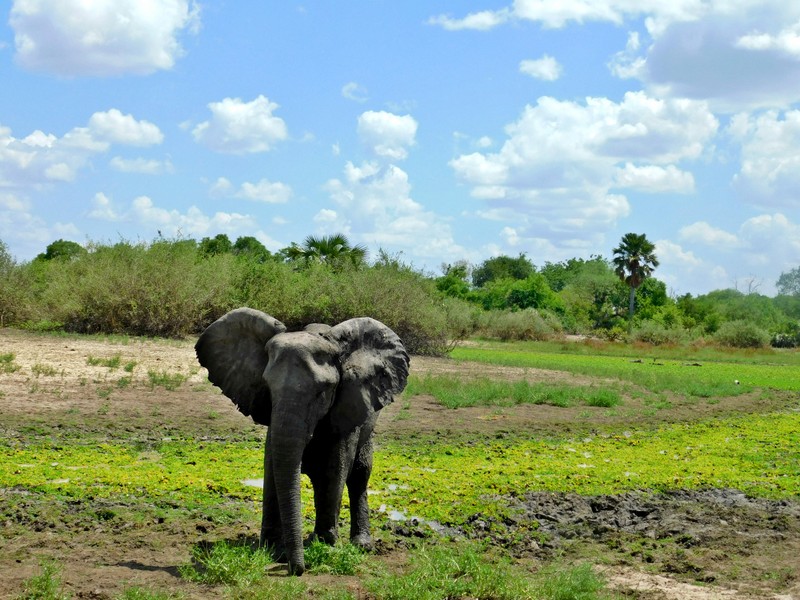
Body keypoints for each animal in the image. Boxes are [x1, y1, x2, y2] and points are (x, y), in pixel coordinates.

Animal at [195, 307, 409, 576]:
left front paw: (325, 546)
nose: (296, 570)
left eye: (323, 392)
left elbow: (335, 470)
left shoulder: (347, 407)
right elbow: (272, 468)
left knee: (359, 473)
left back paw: (360, 544)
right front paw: (271, 550)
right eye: (267, 387)